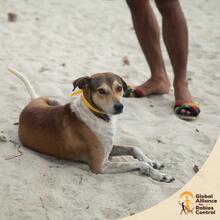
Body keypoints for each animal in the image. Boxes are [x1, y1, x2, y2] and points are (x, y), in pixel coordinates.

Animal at [9, 67, 175, 182]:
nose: (119, 107)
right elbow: (140, 164)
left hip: (53, 101)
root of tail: (31, 103)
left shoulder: (109, 148)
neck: (96, 114)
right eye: (101, 91)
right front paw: (160, 175)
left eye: (119, 88)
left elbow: (134, 148)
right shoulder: (100, 166)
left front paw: (152, 161)